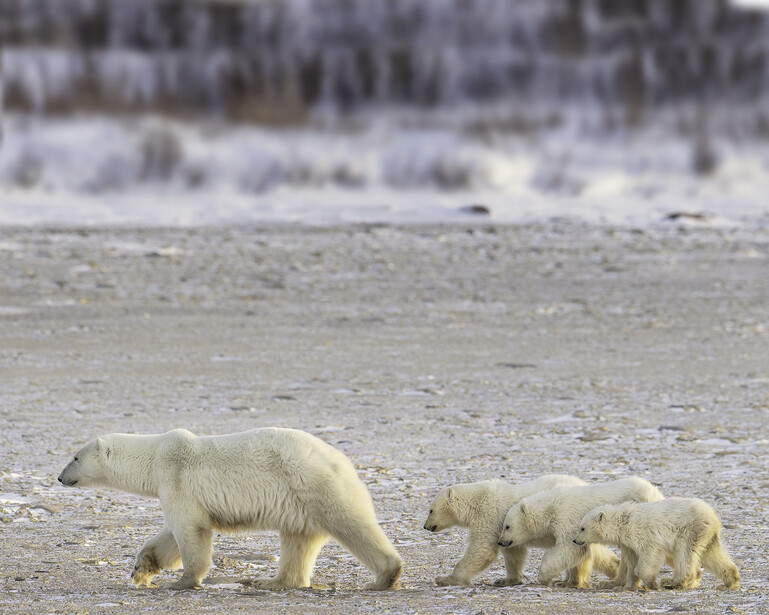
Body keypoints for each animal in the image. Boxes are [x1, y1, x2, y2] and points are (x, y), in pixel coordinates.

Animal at [58, 427, 402, 591]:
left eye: (75, 457)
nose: (60, 477)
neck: (155, 456)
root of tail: (341, 459)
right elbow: (171, 535)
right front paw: (141, 570)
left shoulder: (177, 478)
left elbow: (190, 531)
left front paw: (182, 581)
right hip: (300, 502)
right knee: (298, 539)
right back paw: (272, 581)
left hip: (312, 484)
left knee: (351, 524)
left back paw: (384, 576)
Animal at [423, 475, 590, 587]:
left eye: (430, 510)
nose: (425, 526)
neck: (478, 499)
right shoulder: (508, 531)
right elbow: (513, 552)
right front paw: (506, 580)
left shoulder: (490, 515)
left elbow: (482, 548)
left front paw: (445, 579)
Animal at [497, 477, 664, 588]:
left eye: (507, 526)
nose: (500, 541)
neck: (553, 505)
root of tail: (656, 493)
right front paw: (565, 581)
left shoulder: (568, 518)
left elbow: (570, 548)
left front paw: (545, 578)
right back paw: (614, 581)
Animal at [573, 497, 740, 590]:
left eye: (582, 528)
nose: (575, 540)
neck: (624, 521)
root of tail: (712, 515)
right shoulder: (628, 544)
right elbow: (630, 562)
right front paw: (622, 585)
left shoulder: (643, 534)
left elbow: (649, 554)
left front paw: (652, 583)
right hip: (705, 535)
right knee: (710, 555)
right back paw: (729, 581)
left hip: (689, 531)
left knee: (685, 554)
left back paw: (673, 581)